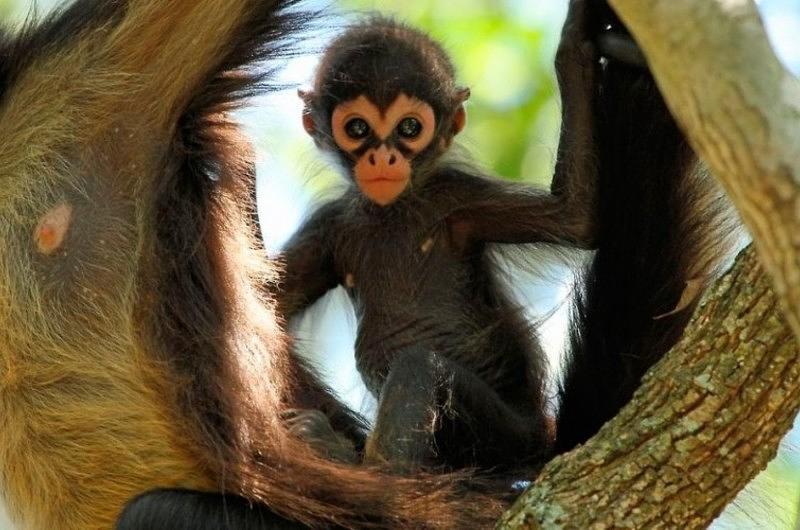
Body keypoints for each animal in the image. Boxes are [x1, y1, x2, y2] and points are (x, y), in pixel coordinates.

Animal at [278, 7, 596, 470]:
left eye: (410, 127)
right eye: (357, 129)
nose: (383, 157)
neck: (392, 213)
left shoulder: (456, 198)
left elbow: (577, 219)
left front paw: (577, 38)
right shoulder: (330, 227)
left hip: (506, 436)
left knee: (419, 365)